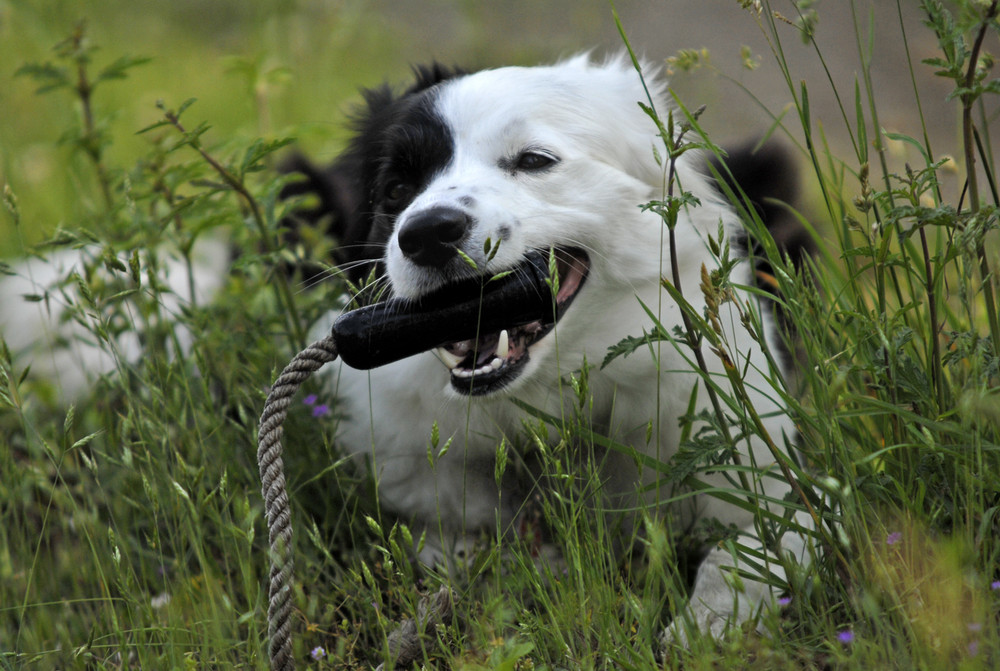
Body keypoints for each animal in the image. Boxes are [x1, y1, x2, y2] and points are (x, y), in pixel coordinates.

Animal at [286, 53, 816, 644]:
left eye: (534, 160)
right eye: (397, 188)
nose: (426, 233)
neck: (545, 416)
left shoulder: (777, 480)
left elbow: (752, 551)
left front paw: (702, 630)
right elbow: (460, 549)